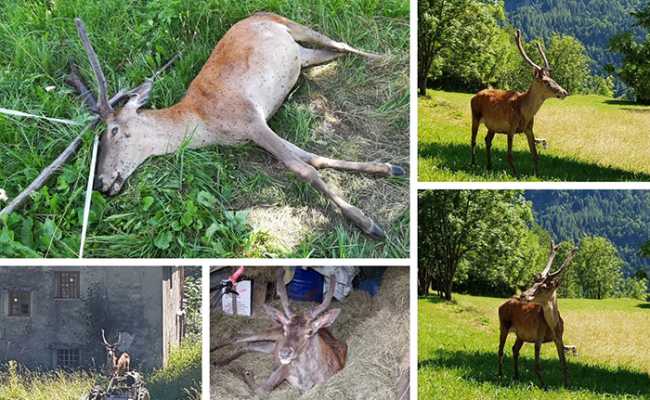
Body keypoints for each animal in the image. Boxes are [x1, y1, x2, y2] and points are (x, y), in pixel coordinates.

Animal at [73, 13, 404, 240]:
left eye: (113, 131)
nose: (101, 183)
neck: (204, 125)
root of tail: (257, 14)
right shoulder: (254, 132)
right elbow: (313, 158)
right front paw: (389, 167)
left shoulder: (250, 119)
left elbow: (303, 169)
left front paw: (368, 224)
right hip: (302, 56)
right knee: (333, 53)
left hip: (291, 23)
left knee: (339, 42)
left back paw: (389, 58)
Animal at [212, 269, 347, 395]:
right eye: (285, 328)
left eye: (310, 332)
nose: (284, 353)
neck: (306, 378)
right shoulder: (283, 368)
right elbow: (262, 390)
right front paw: (246, 373)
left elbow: (261, 390)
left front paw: (247, 372)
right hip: (270, 333)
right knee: (237, 338)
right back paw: (216, 356)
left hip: (271, 347)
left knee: (248, 345)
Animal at [470, 30, 568, 176]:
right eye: (546, 82)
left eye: (553, 79)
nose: (564, 92)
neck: (525, 112)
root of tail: (474, 96)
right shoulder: (511, 127)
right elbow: (509, 154)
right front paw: (515, 174)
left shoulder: (529, 128)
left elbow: (535, 154)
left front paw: (537, 174)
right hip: (475, 115)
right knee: (473, 140)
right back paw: (473, 163)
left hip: (492, 126)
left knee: (487, 140)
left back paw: (489, 165)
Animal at [497, 241, 577, 388]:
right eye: (534, 282)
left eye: (544, 287)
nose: (523, 295)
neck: (553, 326)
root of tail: (503, 304)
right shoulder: (538, 335)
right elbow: (537, 365)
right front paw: (544, 385)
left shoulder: (559, 337)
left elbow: (563, 363)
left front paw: (567, 384)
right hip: (503, 325)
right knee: (500, 350)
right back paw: (500, 374)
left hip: (520, 335)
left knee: (514, 349)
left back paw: (516, 375)